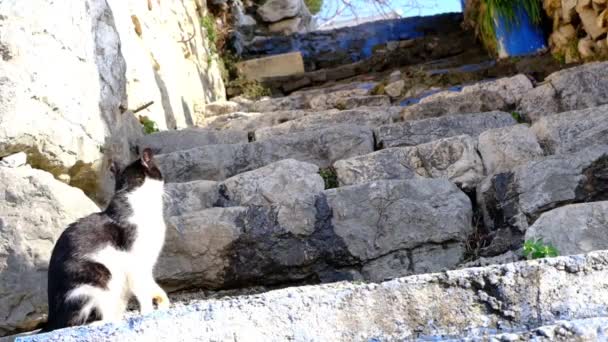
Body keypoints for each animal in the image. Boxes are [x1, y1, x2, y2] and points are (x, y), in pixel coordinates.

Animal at [43, 149, 169, 332]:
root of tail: (51, 322)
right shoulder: (135, 261)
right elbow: (142, 289)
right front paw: (148, 312)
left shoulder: (146, 265)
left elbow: (151, 284)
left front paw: (162, 300)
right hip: (99, 276)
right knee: (85, 321)